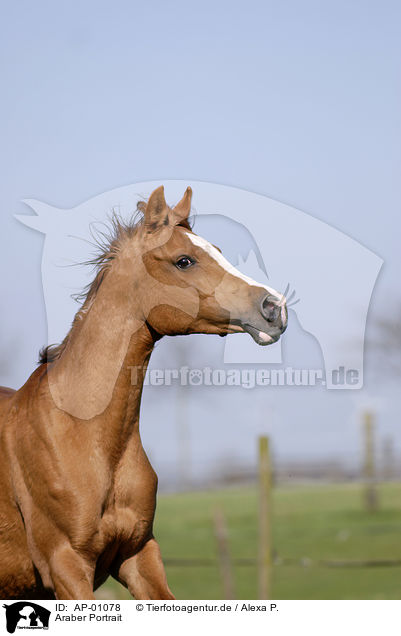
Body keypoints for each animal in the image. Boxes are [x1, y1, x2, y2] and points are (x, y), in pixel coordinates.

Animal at [0, 186, 288, 600]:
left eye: (217, 250)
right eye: (184, 261)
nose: (274, 307)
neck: (78, 432)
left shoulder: (138, 553)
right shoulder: (65, 565)